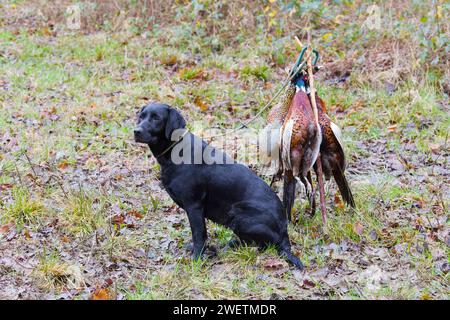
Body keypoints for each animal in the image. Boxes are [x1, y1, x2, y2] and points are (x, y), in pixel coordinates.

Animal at [133, 104, 302, 268]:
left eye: (156, 118)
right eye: (141, 116)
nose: (136, 131)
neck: (176, 151)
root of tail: (284, 232)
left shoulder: (194, 206)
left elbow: (199, 235)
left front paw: (197, 260)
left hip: (238, 214)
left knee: (264, 245)